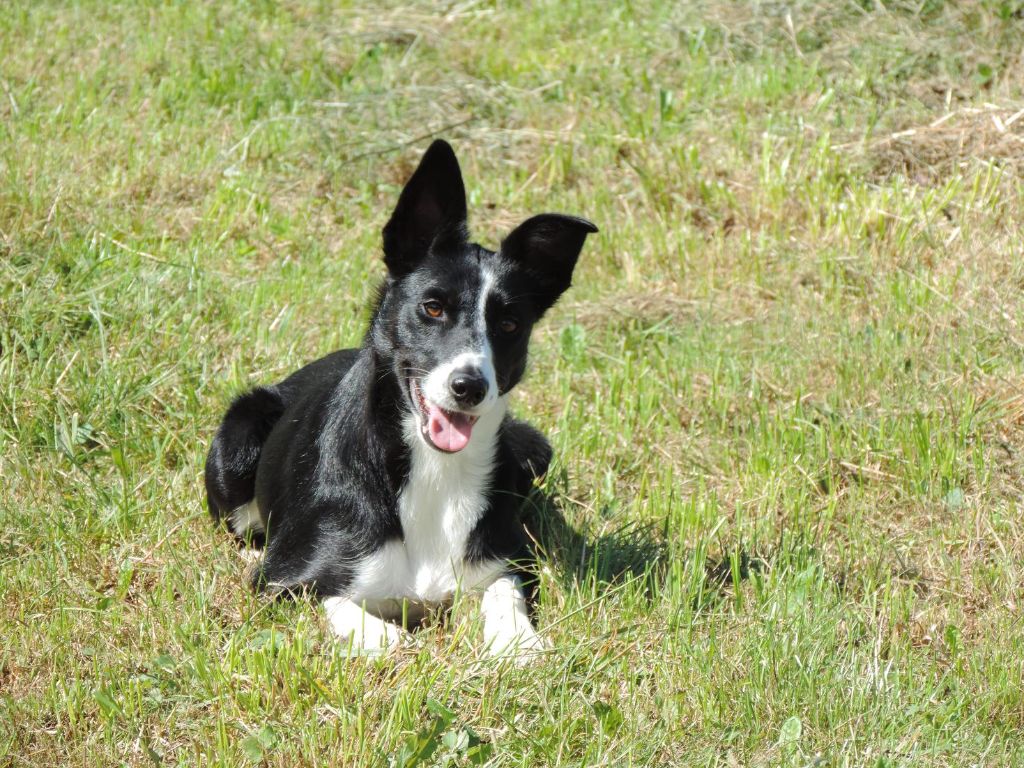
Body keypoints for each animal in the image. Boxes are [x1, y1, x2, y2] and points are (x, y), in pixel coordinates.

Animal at [204, 140, 597, 660]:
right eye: (432, 307)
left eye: (510, 324)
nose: (469, 386)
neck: (431, 470)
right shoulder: (287, 580)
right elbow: (346, 609)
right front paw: (389, 639)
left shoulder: (504, 562)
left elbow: (502, 592)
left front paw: (518, 642)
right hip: (238, 437)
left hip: (532, 447)